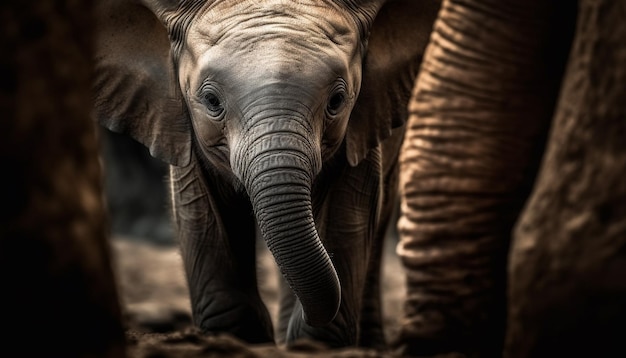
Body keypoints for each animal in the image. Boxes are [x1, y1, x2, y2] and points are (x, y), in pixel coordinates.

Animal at [95, 0, 438, 350]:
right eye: (211, 101)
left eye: (337, 101)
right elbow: (203, 216)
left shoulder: (360, 127)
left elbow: (347, 214)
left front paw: (311, 344)